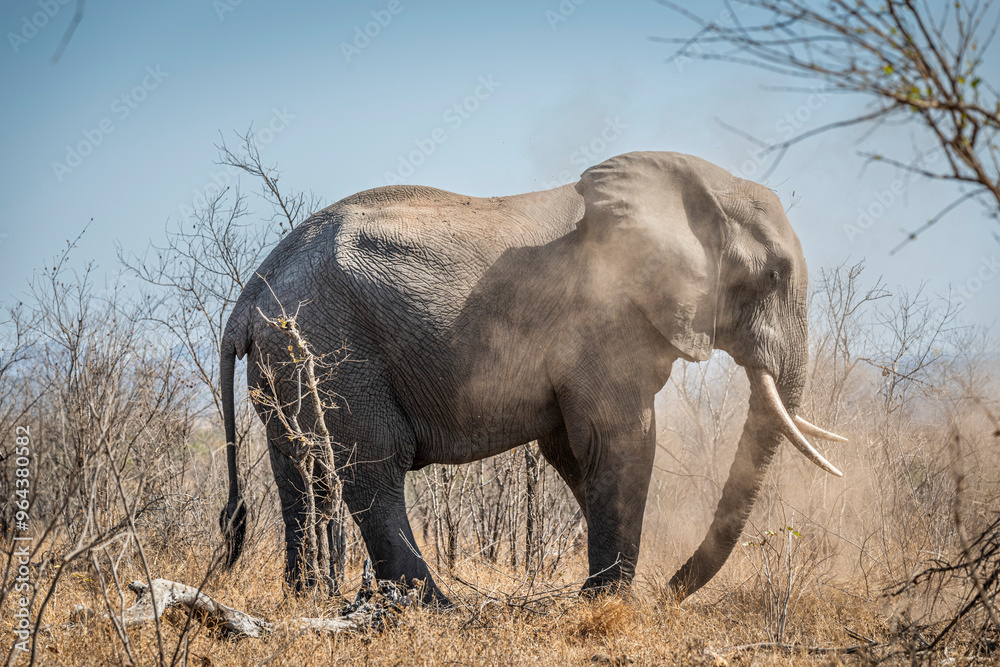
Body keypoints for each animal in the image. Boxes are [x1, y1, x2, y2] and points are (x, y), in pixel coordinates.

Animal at [218, 151, 846, 604]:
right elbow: (620, 440)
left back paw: (308, 600)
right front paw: (607, 602)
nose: (667, 594)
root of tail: (248, 297)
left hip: (284, 358)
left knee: (299, 466)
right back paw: (435, 607)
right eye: (773, 274)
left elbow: (572, 450)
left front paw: (607, 593)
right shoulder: (606, 316)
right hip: (336, 344)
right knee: (372, 462)